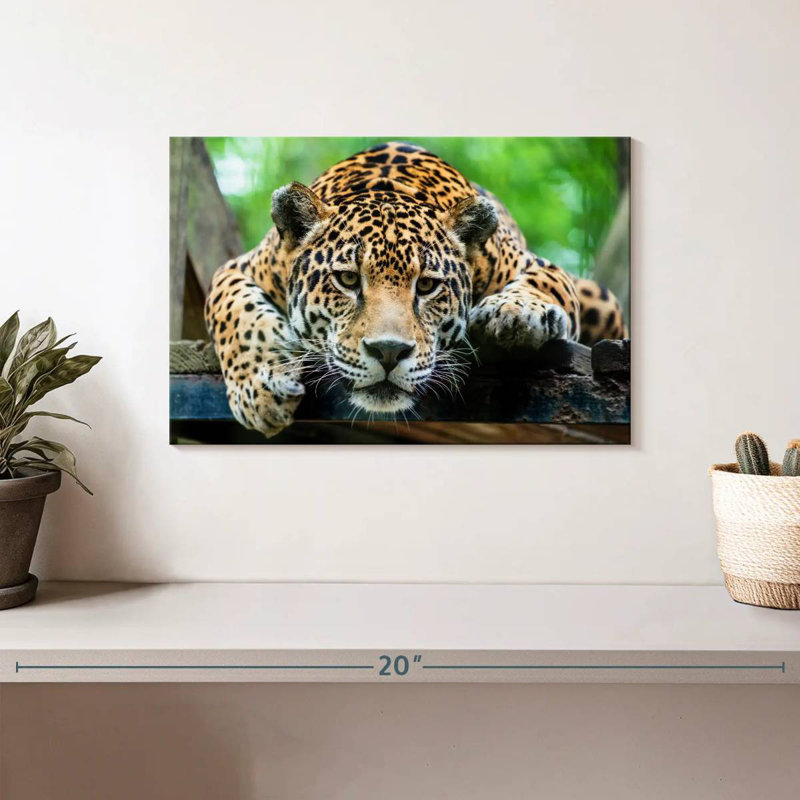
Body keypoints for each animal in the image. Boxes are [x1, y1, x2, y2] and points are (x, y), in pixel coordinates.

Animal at [204, 142, 628, 437]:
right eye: (347, 280)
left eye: (426, 285)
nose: (389, 352)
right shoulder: (238, 268)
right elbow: (234, 313)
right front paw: (260, 390)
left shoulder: (535, 264)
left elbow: (546, 283)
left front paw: (515, 312)